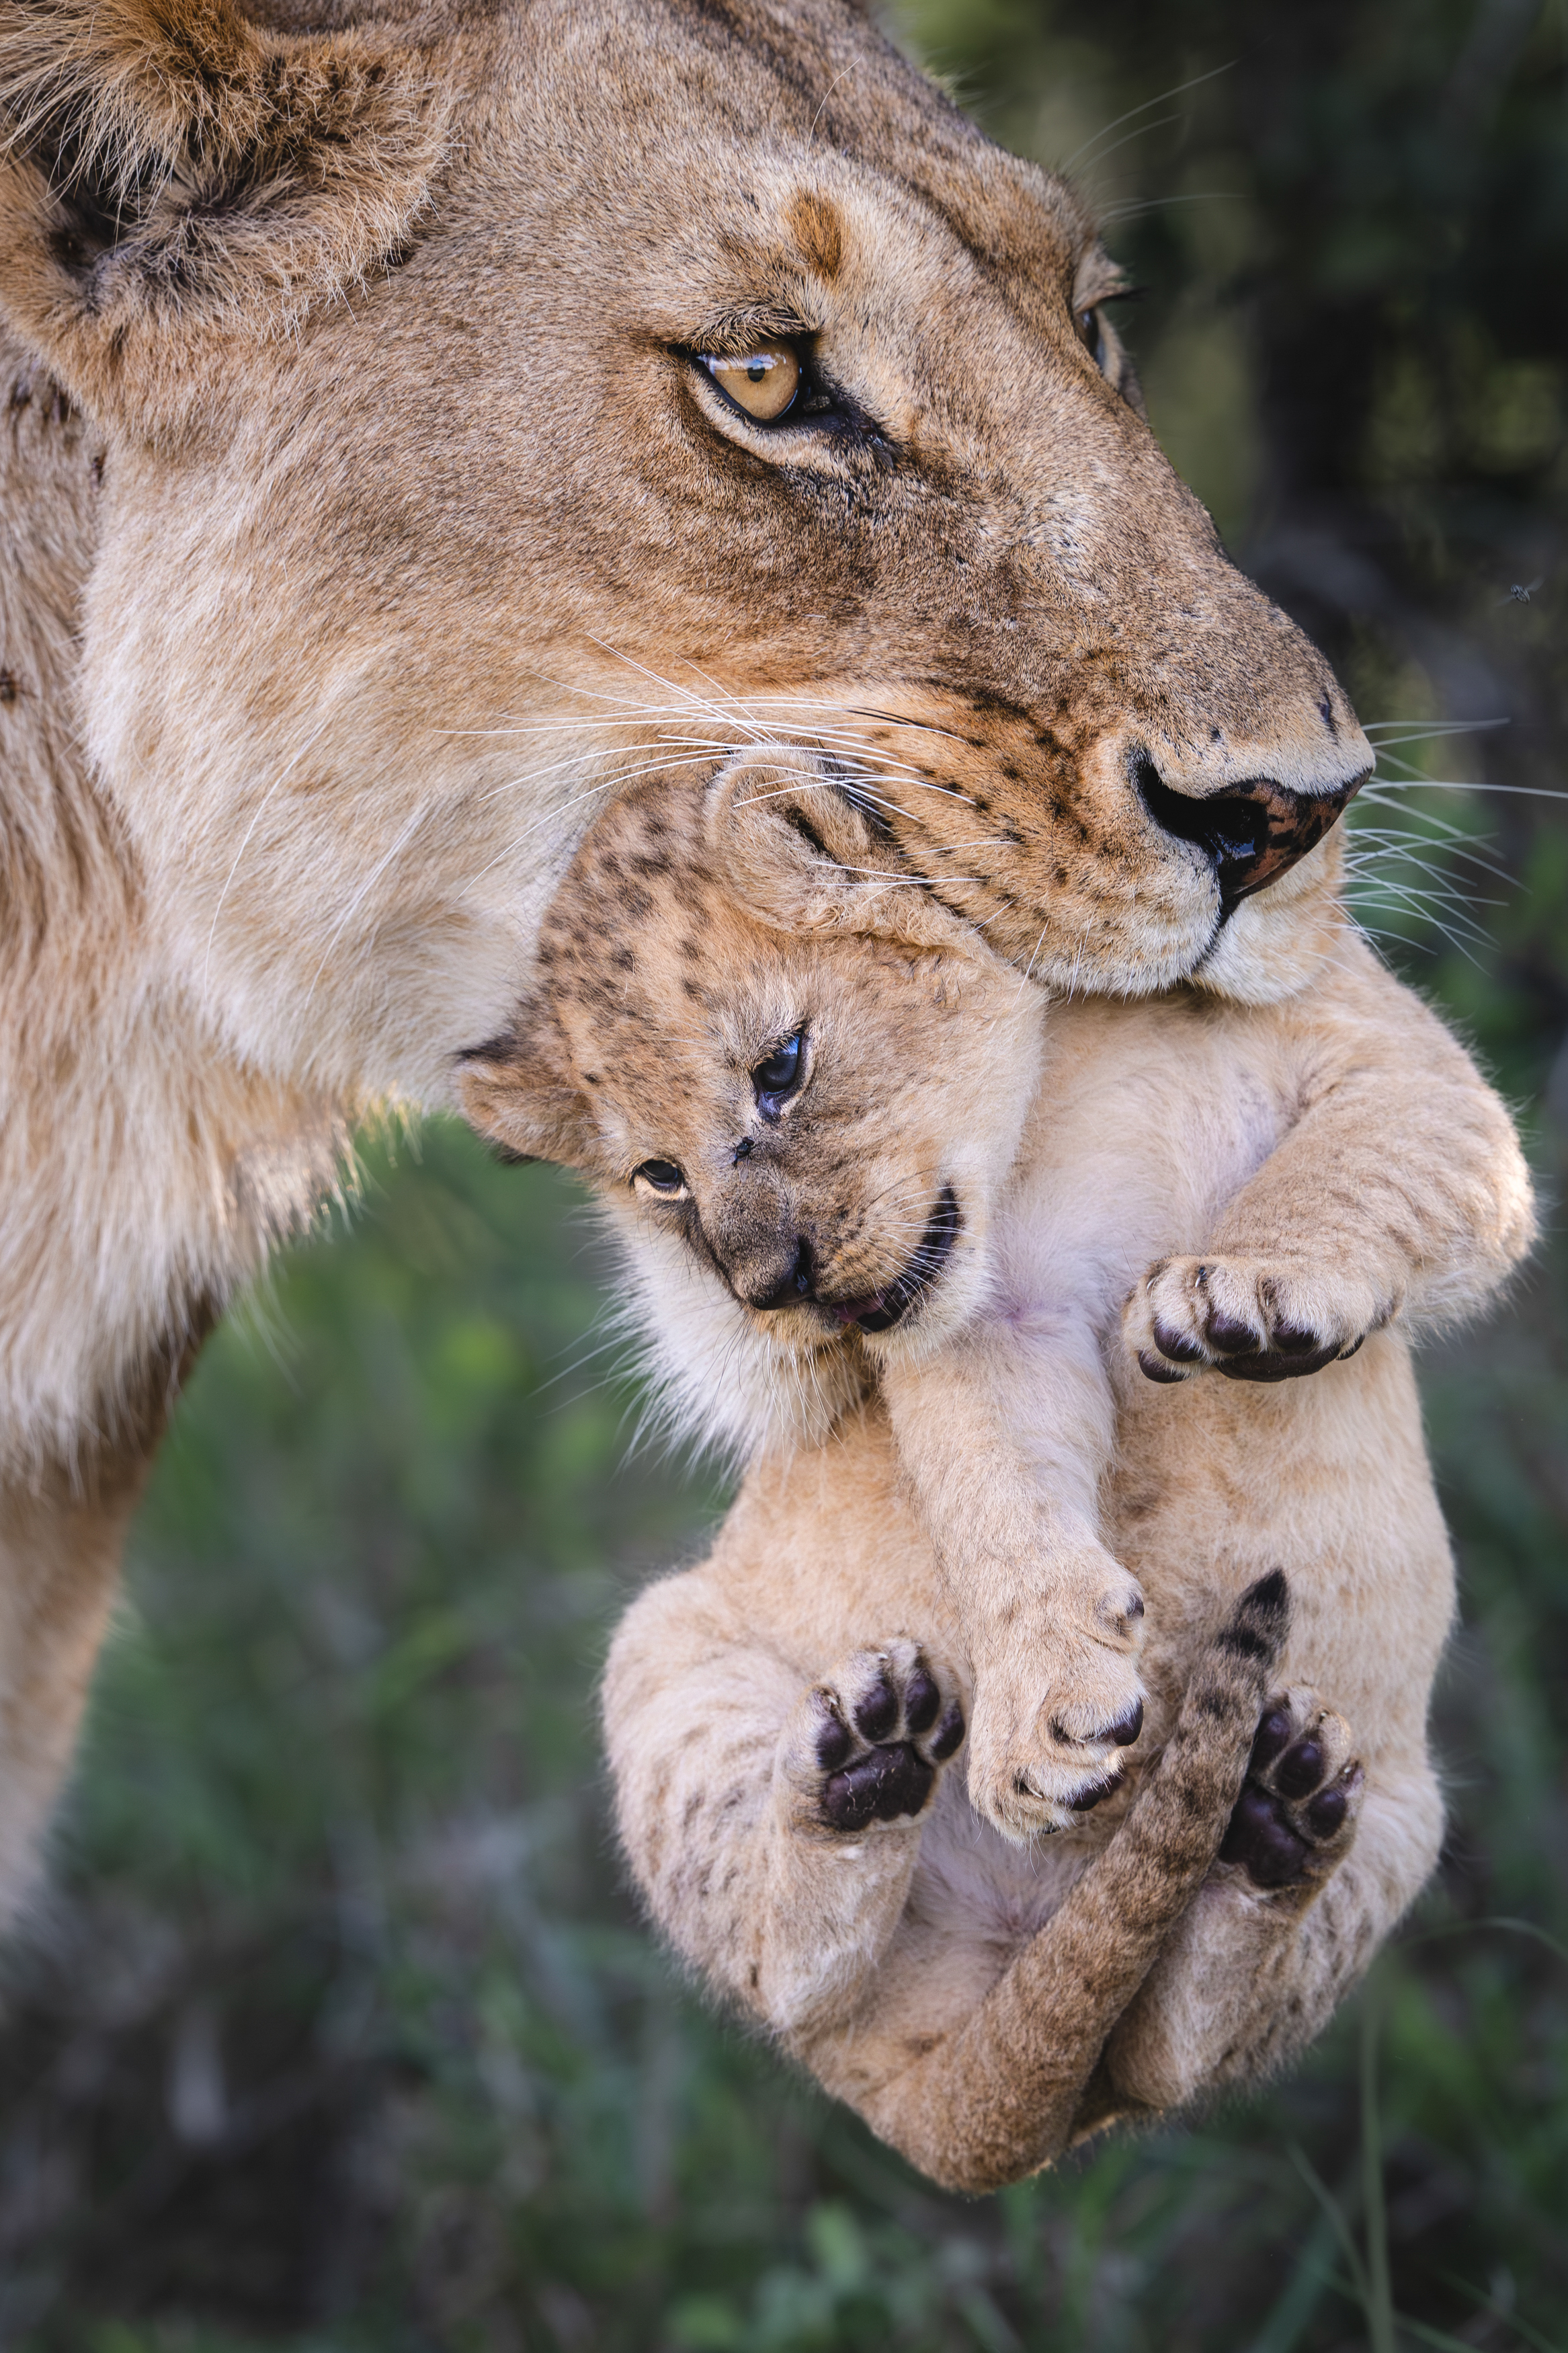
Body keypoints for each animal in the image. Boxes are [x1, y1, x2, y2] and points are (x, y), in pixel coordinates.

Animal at [459, 752, 1533, 2192]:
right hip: (663, 1652)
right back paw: (865, 1760)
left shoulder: (1412, 1077)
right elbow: (992, 1491)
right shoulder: (990, 1311)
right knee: (800, 1978)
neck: (1095, 1036)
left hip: (1399, 1824)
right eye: (658, 1179)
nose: (766, 1287)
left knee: (1168, 2050)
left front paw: (1244, 1292)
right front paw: (1045, 1720)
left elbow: (1358, 1166)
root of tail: (958, 2117)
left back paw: (1279, 1812)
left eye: (780, 1069)